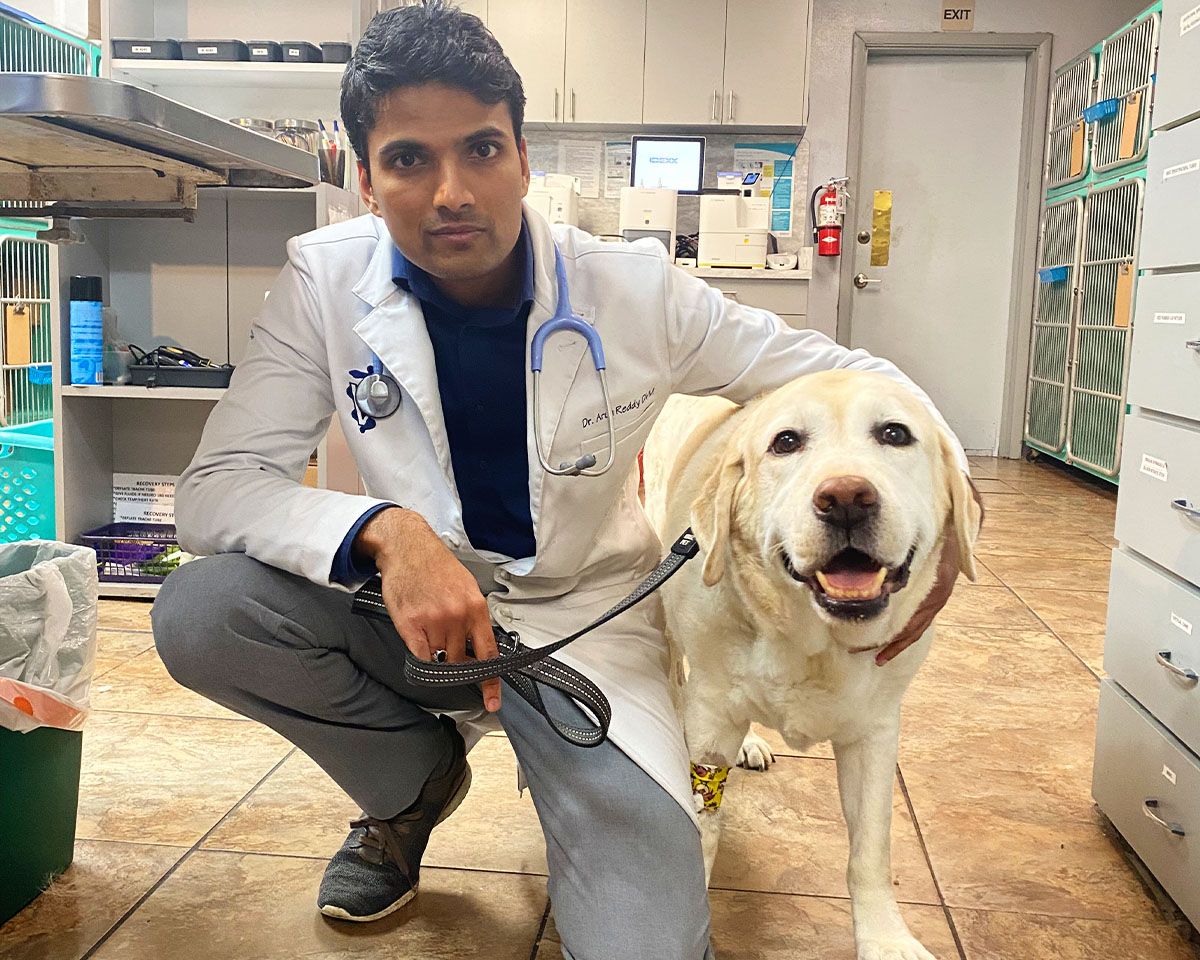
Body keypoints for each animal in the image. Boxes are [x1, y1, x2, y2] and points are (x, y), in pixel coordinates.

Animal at [643, 369, 979, 960]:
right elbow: (703, 826)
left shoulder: (874, 733)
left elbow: (870, 850)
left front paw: (884, 938)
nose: (846, 497)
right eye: (786, 442)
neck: (815, 643)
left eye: (895, 434)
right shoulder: (709, 720)